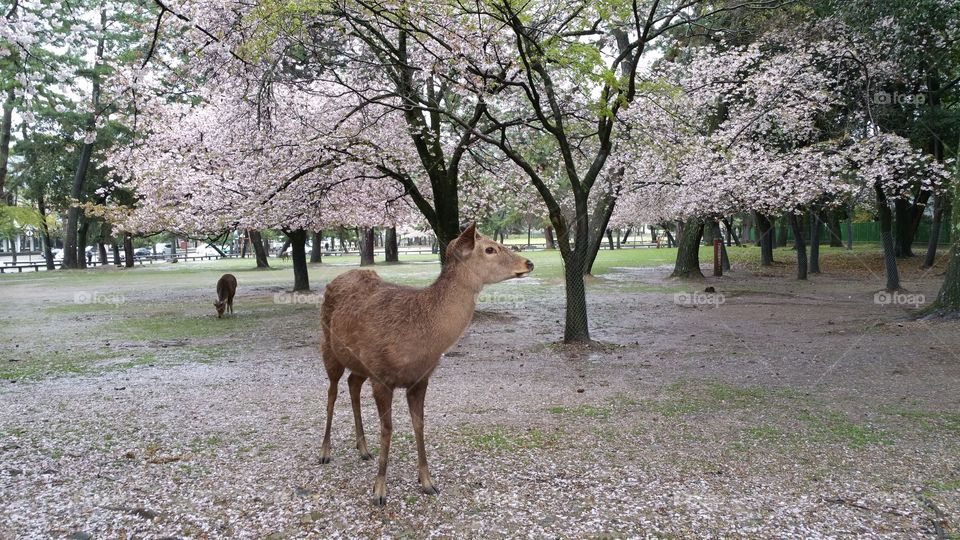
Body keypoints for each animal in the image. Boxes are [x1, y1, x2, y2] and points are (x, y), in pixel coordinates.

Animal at [320, 223, 532, 506]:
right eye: (490, 249)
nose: (528, 262)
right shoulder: (382, 377)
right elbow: (387, 428)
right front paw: (379, 491)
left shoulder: (420, 379)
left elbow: (419, 425)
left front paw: (427, 482)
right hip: (327, 347)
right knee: (332, 392)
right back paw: (325, 451)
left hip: (359, 363)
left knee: (353, 384)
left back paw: (363, 449)